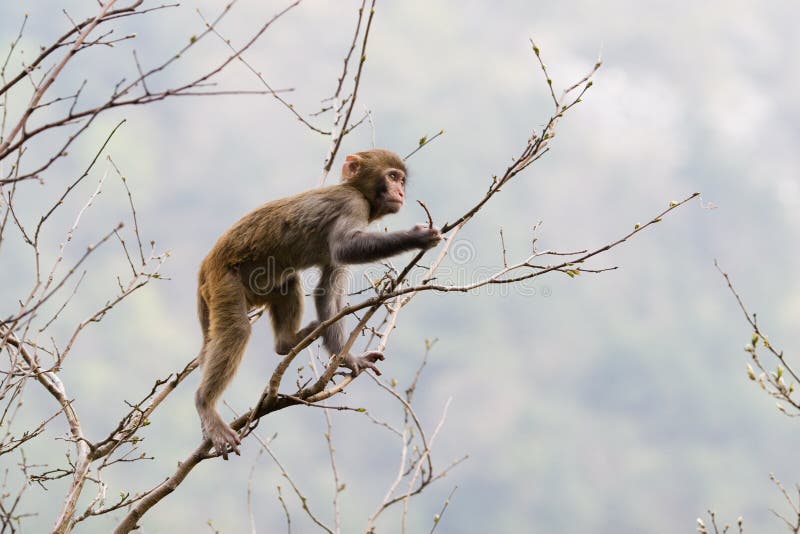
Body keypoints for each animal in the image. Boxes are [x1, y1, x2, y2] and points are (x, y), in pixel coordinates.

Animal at [194, 148, 442, 458]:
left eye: (402, 180)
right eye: (393, 176)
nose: (400, 191)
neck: (356, 189)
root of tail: (205, 268)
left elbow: (328, 288)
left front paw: (346, 356)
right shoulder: (352, 205)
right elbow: (345, 247)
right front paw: (418, 236)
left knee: (287, 282)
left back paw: (287, 342)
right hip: (224, 281)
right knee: (238, 329)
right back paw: (205, 403)